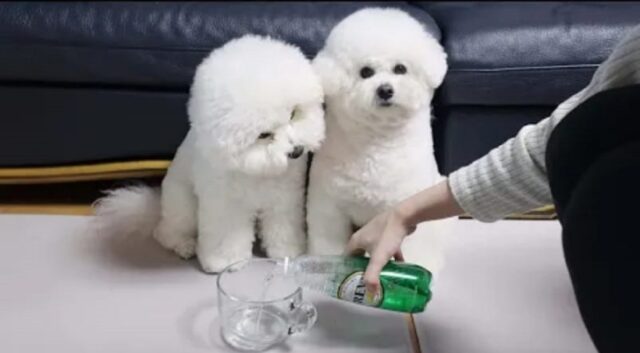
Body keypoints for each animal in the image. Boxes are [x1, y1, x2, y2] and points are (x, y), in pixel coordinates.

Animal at [94, 35, 324, 272]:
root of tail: (157, 208)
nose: (297, 151)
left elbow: (282, 226)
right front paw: (224, 262)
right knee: (165, 233)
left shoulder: (283, 198)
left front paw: (288, 252)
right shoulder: (226, 203)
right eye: (264, 134)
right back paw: (185, 246)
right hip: (184, 207)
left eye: (293, 114)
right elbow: (227, 236)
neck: (255, 170)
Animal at [308, 6, 452, 274]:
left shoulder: (406, 208)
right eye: (366, 72)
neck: (378, 142)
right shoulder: (331, 208)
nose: (385, 90)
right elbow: (328, 241)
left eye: (400, 69)